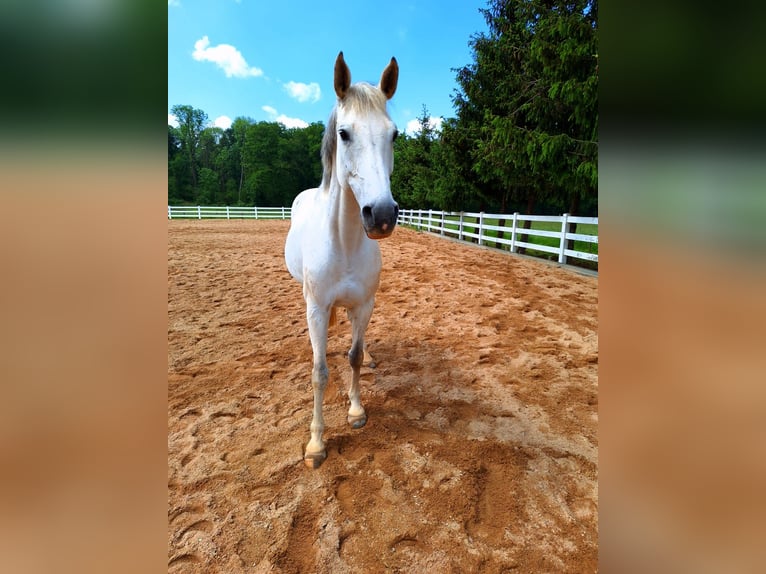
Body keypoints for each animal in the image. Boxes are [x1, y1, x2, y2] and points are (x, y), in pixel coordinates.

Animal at [284, 51, 402, 470]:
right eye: (344, 133)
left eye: (394, 135)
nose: (380, 214)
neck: (346, 242)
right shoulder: (318, 307)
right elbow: (320, 372)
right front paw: (316, 443)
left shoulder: (364, 303)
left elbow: (352, 357)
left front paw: (356, 410)